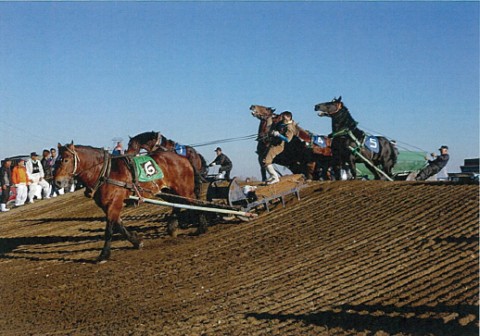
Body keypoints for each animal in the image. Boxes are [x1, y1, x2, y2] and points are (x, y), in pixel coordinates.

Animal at [54, 142, 208, 262]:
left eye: (66, 160)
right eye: (56, 161)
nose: (57, 182)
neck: (106, 172)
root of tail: (184, 158)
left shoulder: (114, 203)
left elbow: (109, 229)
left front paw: (104, 254)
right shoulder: (107, 205)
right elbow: (119, 226)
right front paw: (137, 241)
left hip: (184, 190)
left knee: (196, 204)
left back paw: (201, 228)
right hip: (166, 191)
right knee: (178, 205)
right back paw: (173, 226)